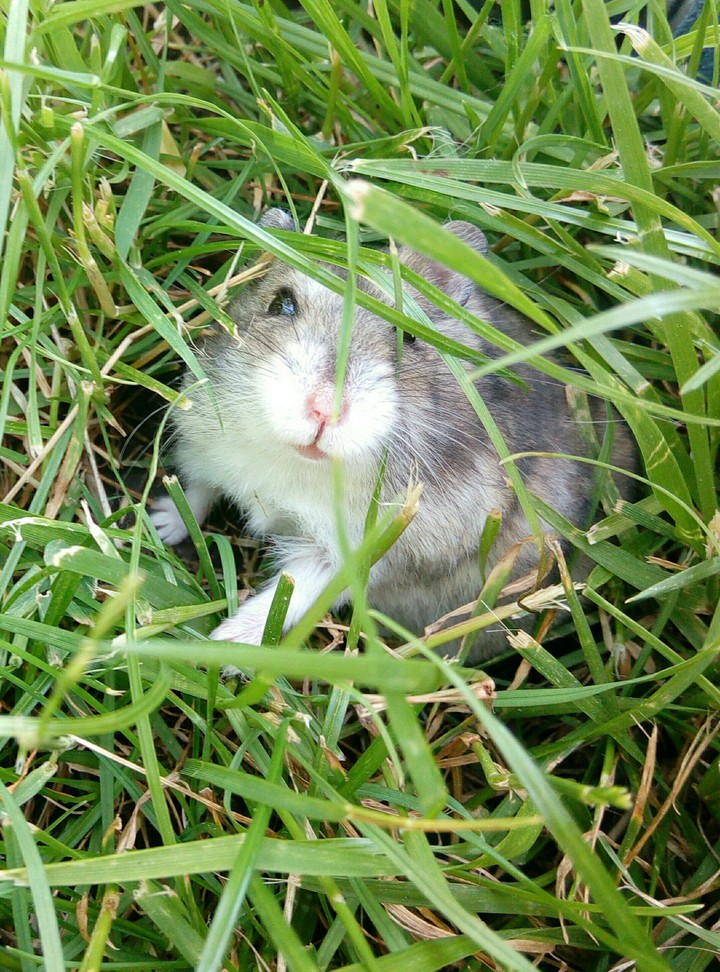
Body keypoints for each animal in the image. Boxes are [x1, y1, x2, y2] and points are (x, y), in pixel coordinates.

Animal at [151, 211, 636, 664]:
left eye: (409, 335)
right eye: (281, 304)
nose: (324, 411)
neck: (301, 462)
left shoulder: (357, 551)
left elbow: (290, 595)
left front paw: (220, 646)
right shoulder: (205, 446)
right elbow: (197, 492)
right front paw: (160, 524)